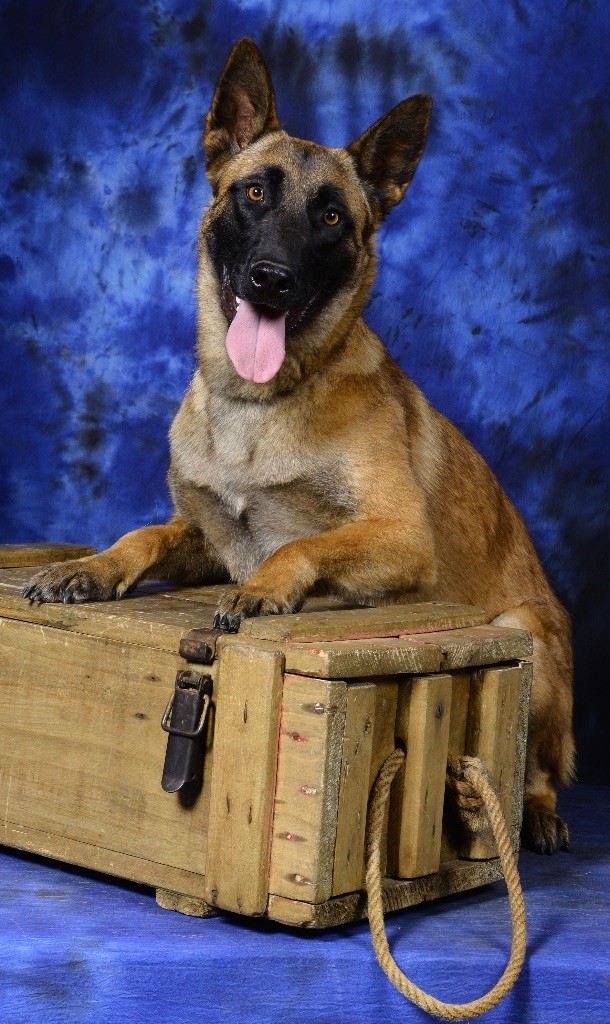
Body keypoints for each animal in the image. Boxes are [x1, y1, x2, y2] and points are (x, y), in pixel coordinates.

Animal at [27, 37, 573, 847]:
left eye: (332, 216)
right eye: (255, 193)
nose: (271, 279)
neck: (261, 402)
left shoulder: (400, 536)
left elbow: (304, 543)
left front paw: (263, 590)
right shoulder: (210, 532)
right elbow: (147, 533)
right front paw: (91, 568)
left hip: (525, 630)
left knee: (534, 761)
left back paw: (537, 811)